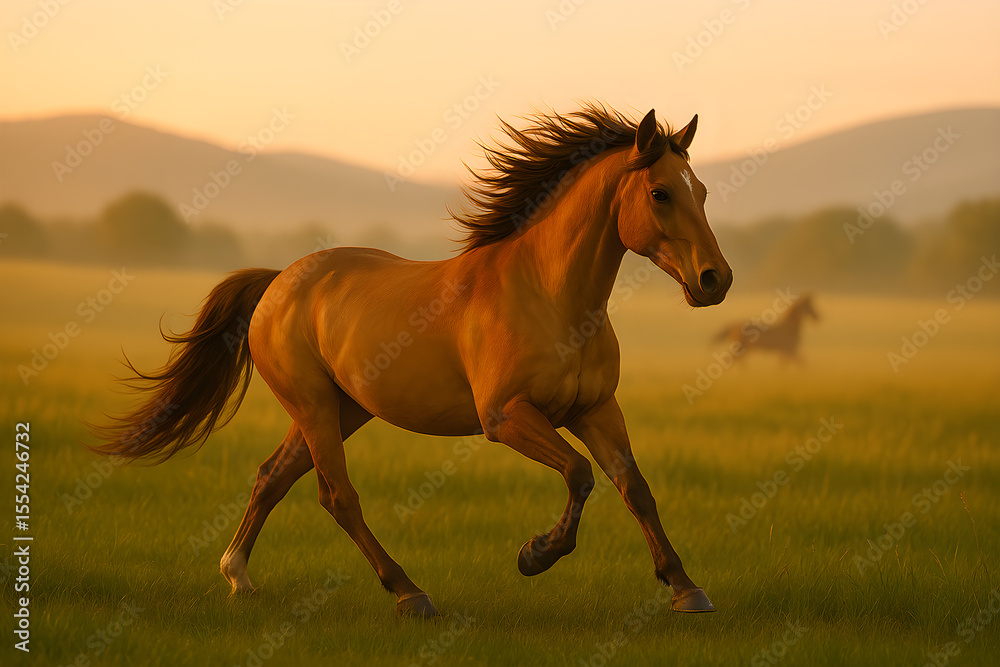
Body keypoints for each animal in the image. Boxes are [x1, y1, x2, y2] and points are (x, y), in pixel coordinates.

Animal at [92, 104, 733, 618]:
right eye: (660, 193)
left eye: (701, 191)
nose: (716, 280)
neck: (550, 296)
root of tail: (279, 282)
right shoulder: (506, 417)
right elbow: (579, 474)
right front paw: (535, 555)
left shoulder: (596, 409)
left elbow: (633, 486)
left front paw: (686, 589)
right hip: (315, 407)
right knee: (336, 496)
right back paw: (410, 593)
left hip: (343, 409)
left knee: (274, 476)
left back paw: (239, 578)